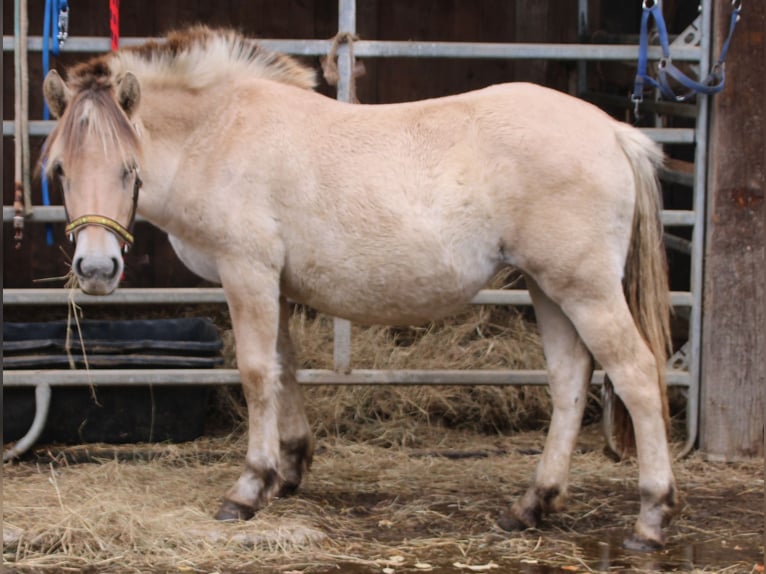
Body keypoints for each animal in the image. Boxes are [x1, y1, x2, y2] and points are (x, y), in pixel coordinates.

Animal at [42, 24, 680, 552]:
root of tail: (614, 132)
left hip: (584, 289)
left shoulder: (247, 272)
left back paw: (651, 518)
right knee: (570, 381)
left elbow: (256, 374)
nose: (96, 270)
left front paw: (248, 488)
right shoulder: (272, 283)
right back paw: (532, 505)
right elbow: (284, 368)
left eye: (129, 168)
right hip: (550, 289)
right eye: (61, 171)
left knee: (636, 374)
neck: (221, 132)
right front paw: (289, 469)